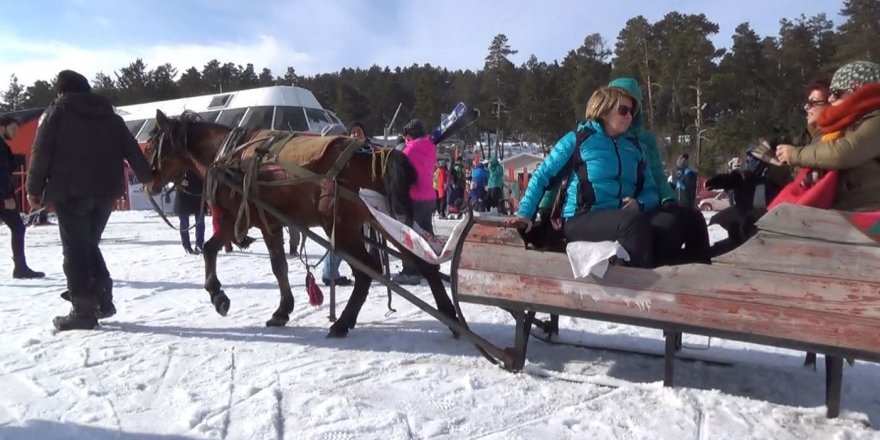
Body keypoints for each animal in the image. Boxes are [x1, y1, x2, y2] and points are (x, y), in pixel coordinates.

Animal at [141, 110, 458, 336]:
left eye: (154, 144)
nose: (148, 180)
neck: (228, 154)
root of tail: (380, 152)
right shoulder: (256, 221)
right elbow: (255, 259)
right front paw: (276, 308)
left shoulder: (251, 219)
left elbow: (256, 261)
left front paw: (223, 297)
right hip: (384, 222)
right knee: (424, 263)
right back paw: (449, 314)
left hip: (343, 228)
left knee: (368, 272)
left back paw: (342, 323)